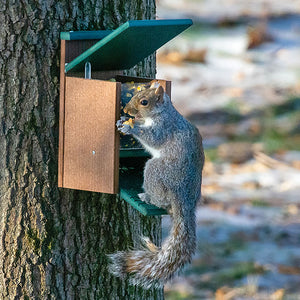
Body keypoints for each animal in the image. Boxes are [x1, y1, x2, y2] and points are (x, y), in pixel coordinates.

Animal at [109, 82, 205, 288]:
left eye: (144, 102)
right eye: (137, 94)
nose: (127, 111)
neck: (162, 113)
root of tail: (184, 199)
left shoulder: (164, 128)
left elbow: (153, 138)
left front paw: (130, 128)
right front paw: (125, 121)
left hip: (156, 171)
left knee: (161, 200)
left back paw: (146, 196)